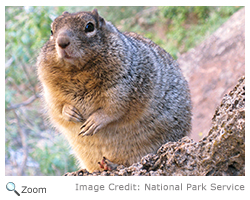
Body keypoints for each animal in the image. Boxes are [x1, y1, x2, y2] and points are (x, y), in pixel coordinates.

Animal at [37, 9, 192, 172]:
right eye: (52, 30)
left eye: (89, 26)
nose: (62, 42)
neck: (77, 71)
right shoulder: (50, 94)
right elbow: (58, 108)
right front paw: (70, 113)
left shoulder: (124, 88)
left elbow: (114, 109)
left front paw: (92, 123)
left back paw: (111, 164)